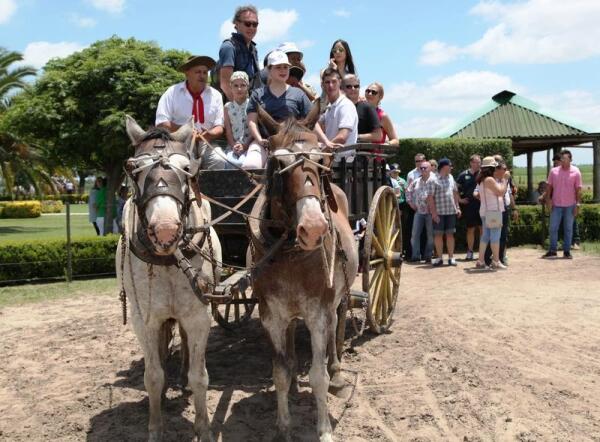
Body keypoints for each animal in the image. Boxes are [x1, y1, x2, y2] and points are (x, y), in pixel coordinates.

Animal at [116, 115, 221, 440]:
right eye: (133, 167)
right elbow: (153, 376)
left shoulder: (198, 316)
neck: (167, 259)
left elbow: (200, 377)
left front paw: (204, 427)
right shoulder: (145, 319)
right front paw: (156, 427)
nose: (165, 230)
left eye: (186, 168)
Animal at [247, 109, 358, 440]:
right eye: (279, 165)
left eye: (321, 161)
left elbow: (318, 375)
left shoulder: (318, 312)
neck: (289, 252)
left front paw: (324, 429)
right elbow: (279, 372)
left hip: (338, 297)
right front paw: (284, 426)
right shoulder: (271, 315)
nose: (314, 228)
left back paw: (338, 372)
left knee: (337, 325)